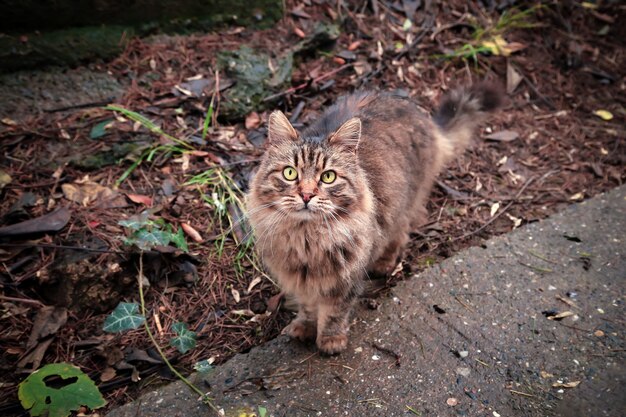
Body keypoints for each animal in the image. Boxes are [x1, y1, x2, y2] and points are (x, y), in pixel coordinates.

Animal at [244, 84, 498, 354]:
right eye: (290, 173)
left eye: (328, 177)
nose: (306, 195)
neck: (307, 239)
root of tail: (419, 113)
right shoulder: (300, 280)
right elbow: (308, 307)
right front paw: (304, 327)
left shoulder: (346, 279)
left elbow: (334, 312)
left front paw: (330, 340)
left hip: (402, 208)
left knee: (401, 234)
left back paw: (384, 264)